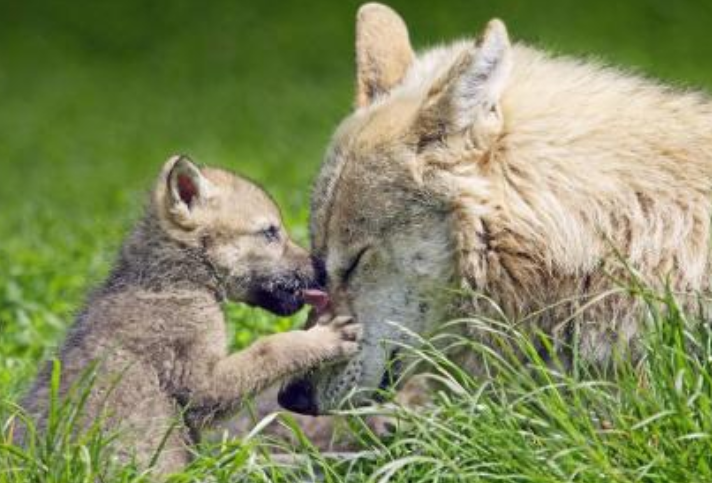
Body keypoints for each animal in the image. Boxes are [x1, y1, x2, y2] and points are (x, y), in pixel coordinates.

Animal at [22, 156, 362, 476]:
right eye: (270, 232)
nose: (321, 270)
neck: (176, 280)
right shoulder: (200, 384)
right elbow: (272, 348)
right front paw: (324, 338)